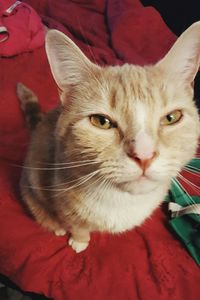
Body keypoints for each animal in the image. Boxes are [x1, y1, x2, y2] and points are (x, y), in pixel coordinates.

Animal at [17, 22, 200, 252]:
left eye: (171, 118)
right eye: (101, 121)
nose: (144, 155)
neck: (121, 202)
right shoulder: (64, 205)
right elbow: (77, 226)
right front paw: (79, 242)